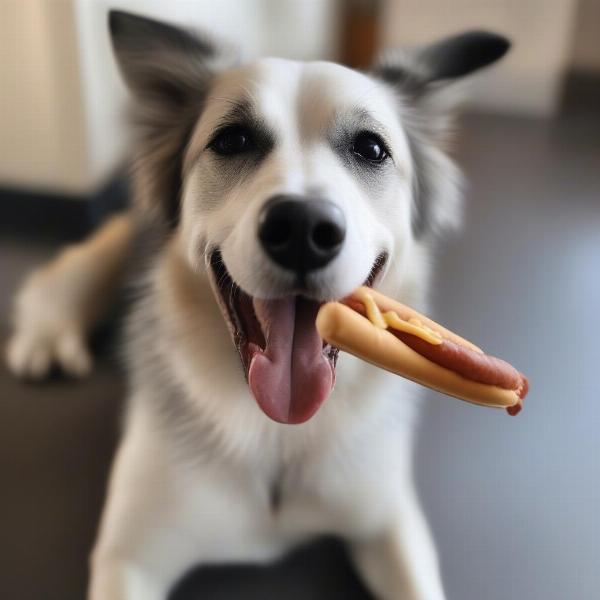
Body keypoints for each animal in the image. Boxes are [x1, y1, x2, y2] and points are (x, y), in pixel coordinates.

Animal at [7, 10, 508, 600]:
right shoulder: (128, 557)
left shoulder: (389, 518)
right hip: (112, 243)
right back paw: (45, 338)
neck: (277, 434)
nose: (303, 229)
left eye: (370, 149)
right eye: (233, 139)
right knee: (64, 274)